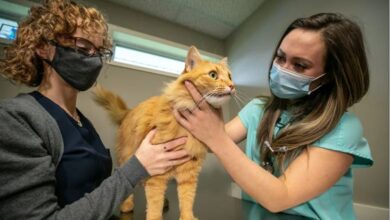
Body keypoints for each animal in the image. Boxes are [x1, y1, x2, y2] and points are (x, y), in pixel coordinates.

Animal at [94, 46, 235, 220]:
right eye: (213, 75)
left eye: (229, 76)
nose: (232, 86)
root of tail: (128, 112)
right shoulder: (157, 172)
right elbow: (154, 203)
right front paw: (154, 215)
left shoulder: (189, 171)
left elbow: (187, 199)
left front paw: (187, 217)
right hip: (128, 156)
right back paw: (127, 205)